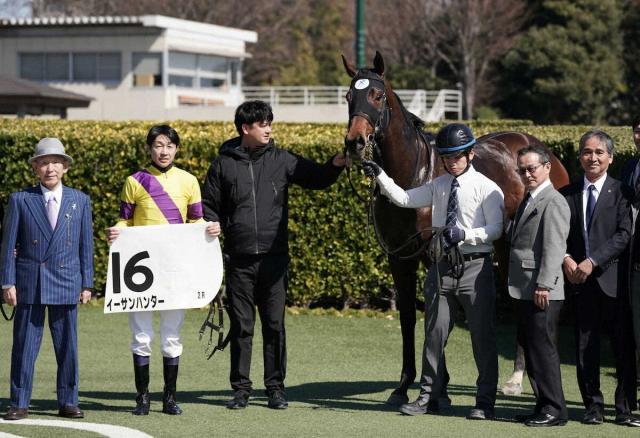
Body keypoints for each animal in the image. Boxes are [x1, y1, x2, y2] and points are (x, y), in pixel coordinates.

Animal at [342, 52, 568, 408]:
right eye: (349, 96)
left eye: (377, 95)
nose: (354, 142)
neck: (413, 174)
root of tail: (540, 148)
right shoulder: (400, 259)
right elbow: (410, 317)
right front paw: (404, 385)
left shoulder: (432, 254)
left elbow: (438, 316)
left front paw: (440, 388)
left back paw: (519, 379)